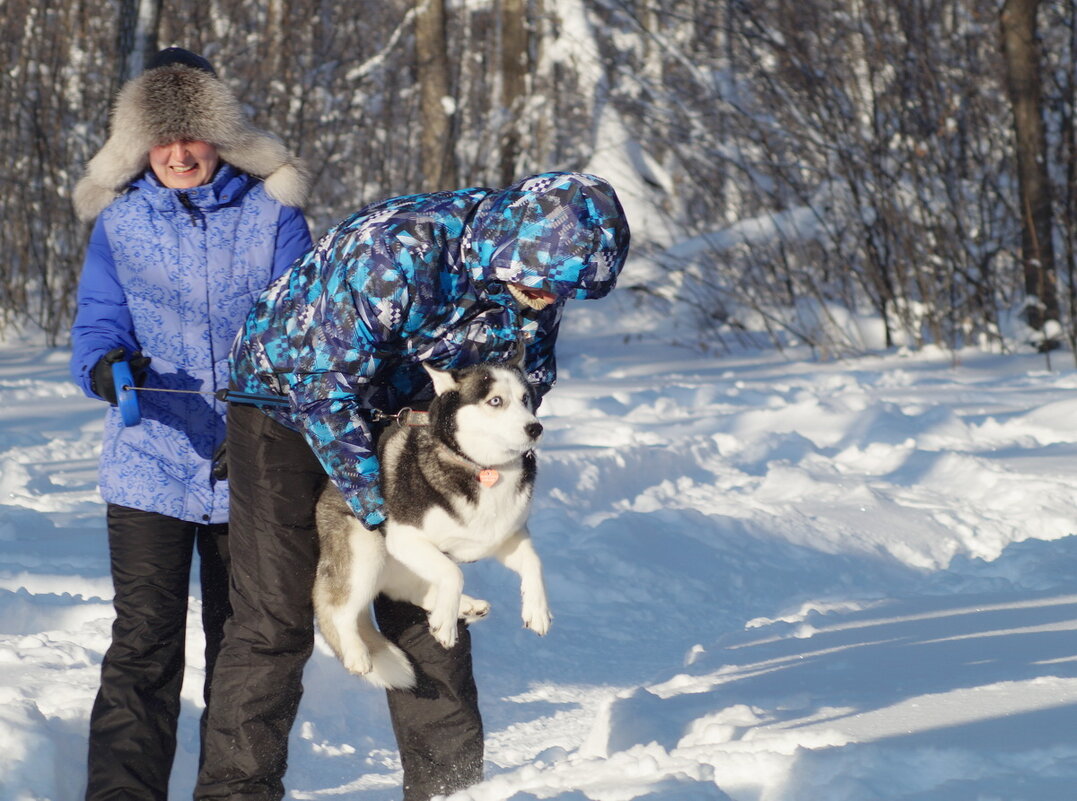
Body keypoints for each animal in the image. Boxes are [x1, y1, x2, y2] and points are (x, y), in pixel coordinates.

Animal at [310, 355, 547, 689]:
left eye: (526, 399)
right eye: (495, 401)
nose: (535, 427)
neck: (482, 468)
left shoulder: (503, 537)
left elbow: (534, 563)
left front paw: (537, 610)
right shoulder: (405, 538)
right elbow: (452, 574)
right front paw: (445, 624)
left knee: (410, 590)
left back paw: (465, 606)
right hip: (367, 551)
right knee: (339, 610)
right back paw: (356, 652)